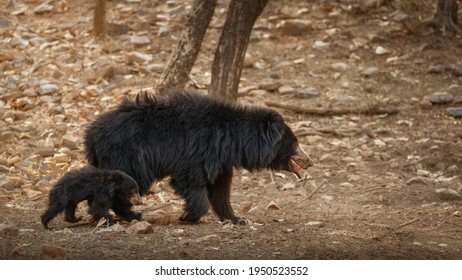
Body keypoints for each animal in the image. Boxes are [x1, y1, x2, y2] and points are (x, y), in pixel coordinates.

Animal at [84, 89, 312, 223]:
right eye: (295, 143)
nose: (309, 162)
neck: (231, 141)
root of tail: (92, 136)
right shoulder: (197, 153)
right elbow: (190, 183)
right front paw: (188, 217)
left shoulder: (221, 163)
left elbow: (221, 191)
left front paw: (236, 219)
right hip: (128, 156)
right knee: (126, 184)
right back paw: (131, 214)